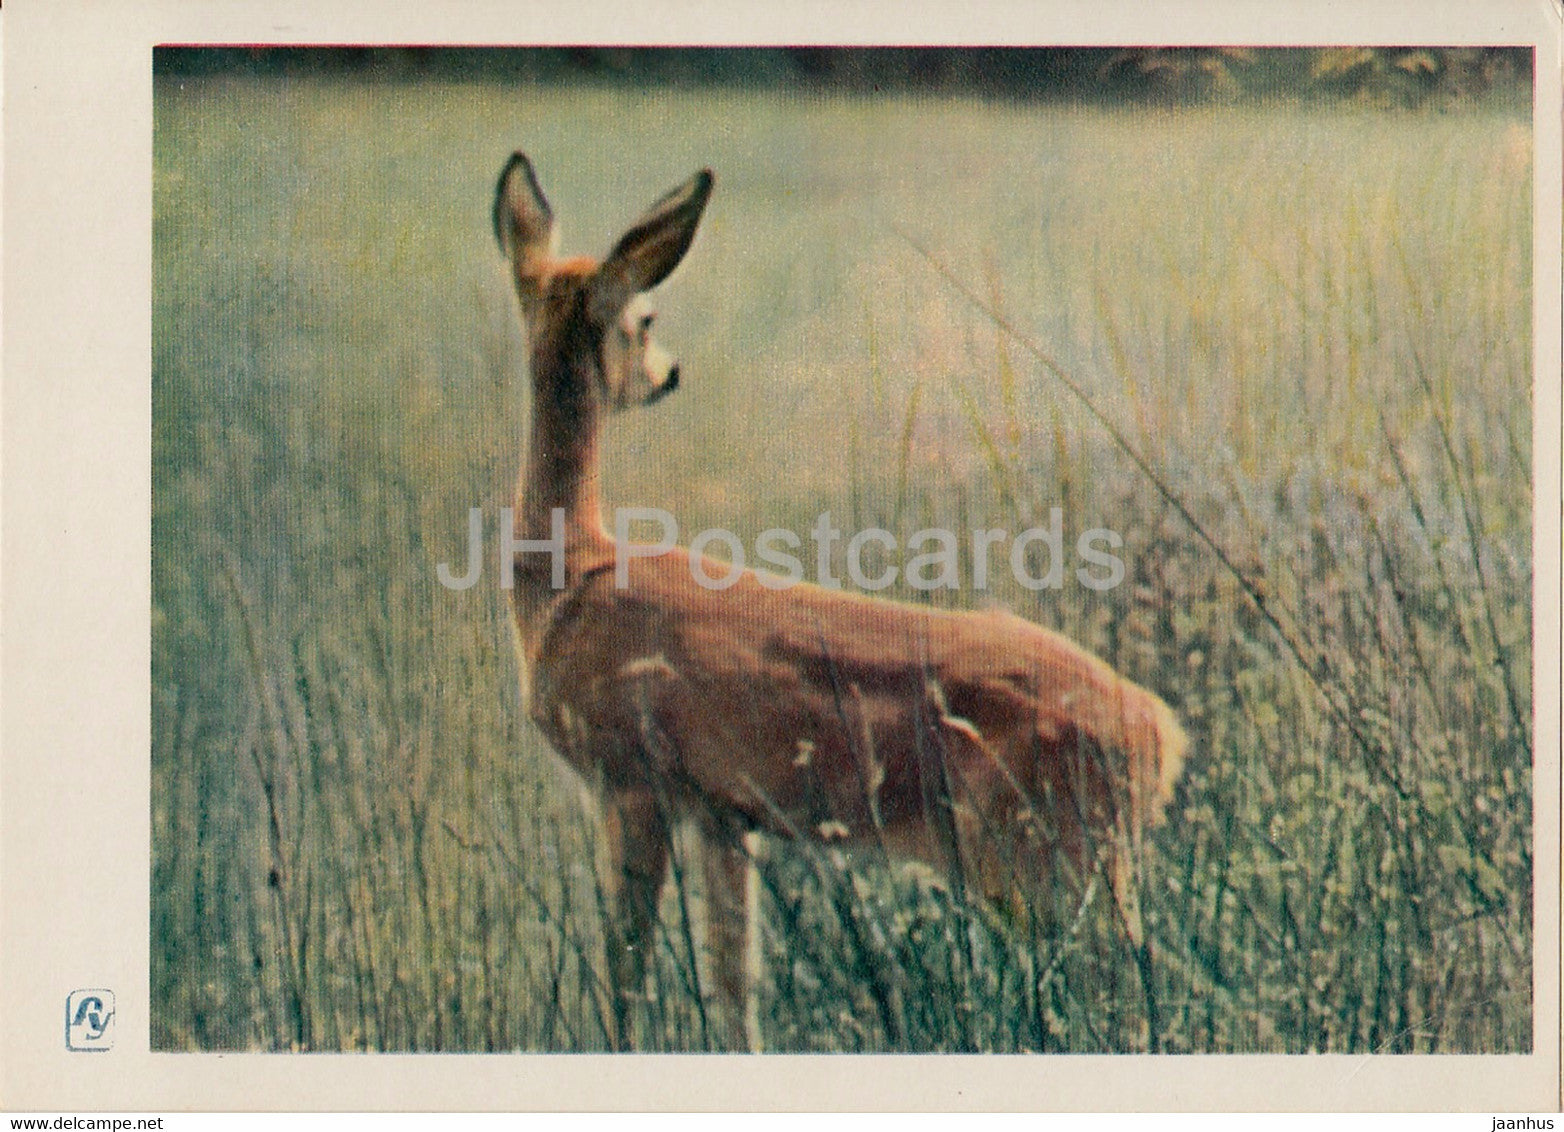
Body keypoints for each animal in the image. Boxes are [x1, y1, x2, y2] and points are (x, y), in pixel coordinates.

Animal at [494, 150, 1188, 1050]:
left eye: (644, 315)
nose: (671, 372)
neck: (569, 576)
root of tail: (1160, 735)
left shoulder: (631, 779)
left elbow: (626, 973)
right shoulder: (723, 812)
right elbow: (734, 982)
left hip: (1044, 854)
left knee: (1118, 1000)